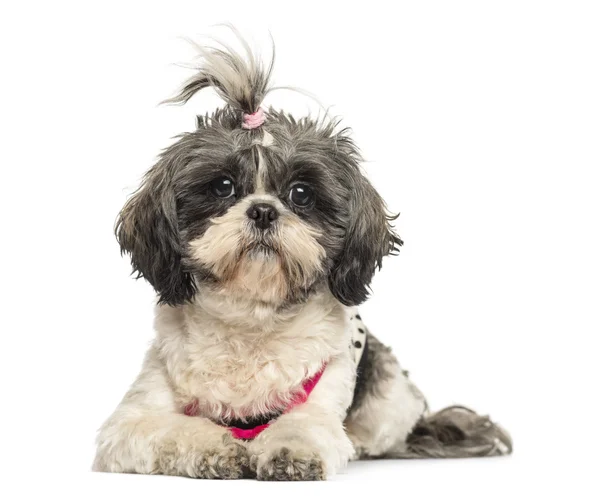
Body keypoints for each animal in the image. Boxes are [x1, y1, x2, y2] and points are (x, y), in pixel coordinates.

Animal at [94, 30, 510, 478]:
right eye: (223, 186)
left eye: (301, 193)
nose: (263, 210)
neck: (252, 323)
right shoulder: (131, 420)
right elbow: (167, 428)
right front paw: (216, 448)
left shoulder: (325, 390)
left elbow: (304, 425)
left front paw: (288, 451)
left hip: (389, 400)